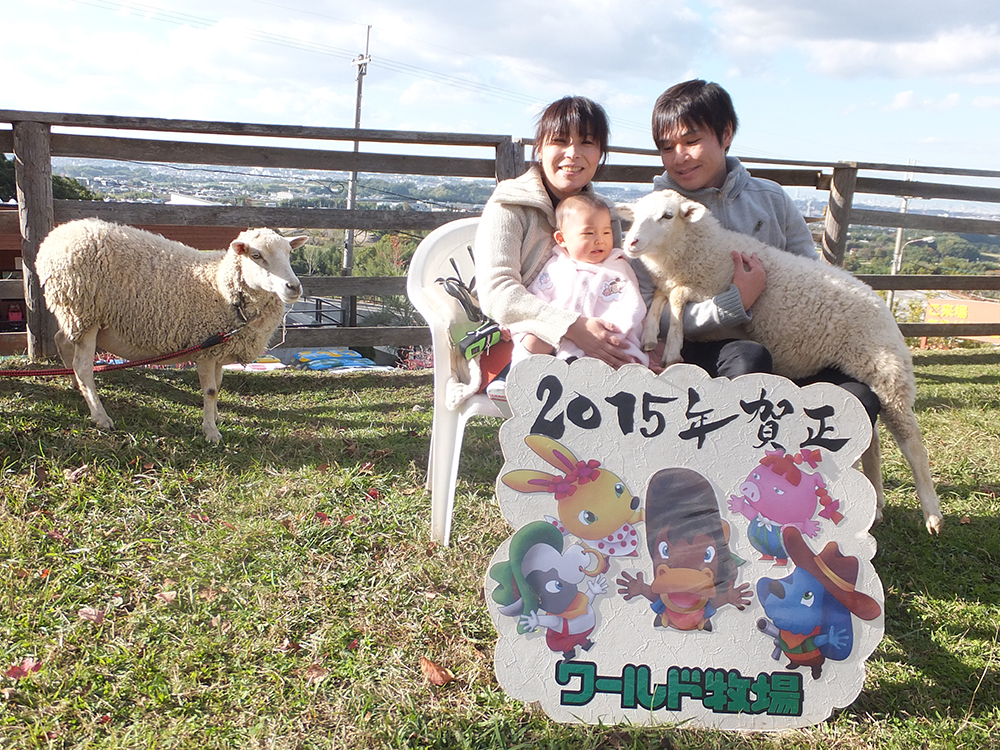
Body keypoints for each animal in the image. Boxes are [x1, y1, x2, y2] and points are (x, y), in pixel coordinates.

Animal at [36, 217, 304, 444]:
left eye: (289, 253)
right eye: (256, 255)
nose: (294, 287)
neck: (220, 286)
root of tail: (53, 237)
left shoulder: (217, 349)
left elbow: (218, 385)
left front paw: (216, 417)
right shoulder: (205, 347)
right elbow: (210, 391)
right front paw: (211, 431)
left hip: (75, 315)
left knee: (62, 341)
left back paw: (75, 385)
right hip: (84, 311)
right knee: (83, 367)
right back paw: (100, 416)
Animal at [616, 191, 944, 536]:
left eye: (667, 216)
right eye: (635, 216)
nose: (632, 242)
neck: (705, 248)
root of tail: (882, 305)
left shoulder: (710, 285)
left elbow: (676, 297)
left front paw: (671, 345)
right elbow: (662, 295)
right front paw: (650, 333)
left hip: (888, 372)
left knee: (912, 443)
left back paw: (932, 516)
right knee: (874, 440)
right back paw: (877, 504)